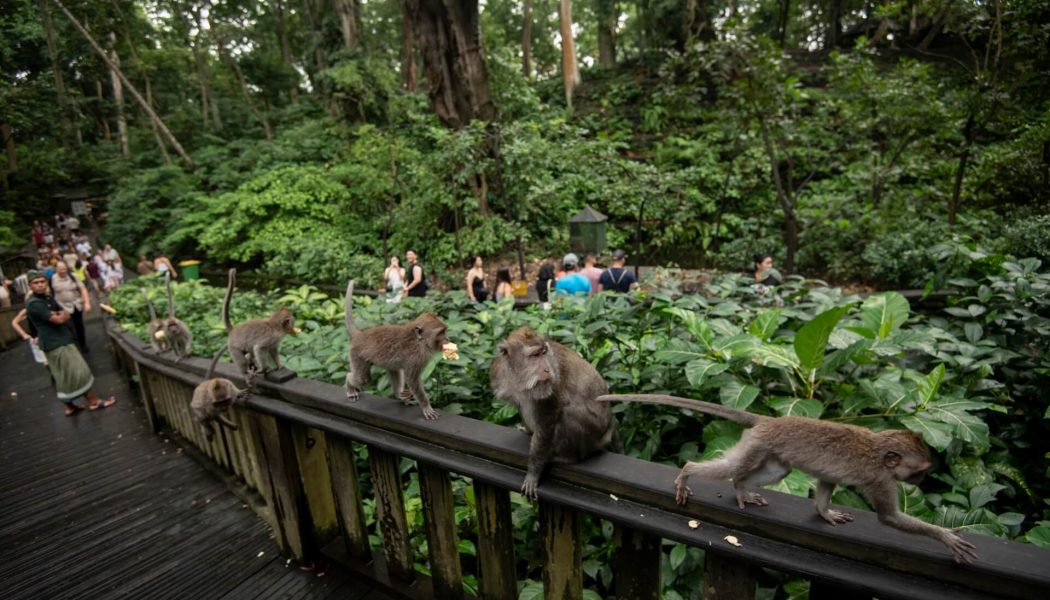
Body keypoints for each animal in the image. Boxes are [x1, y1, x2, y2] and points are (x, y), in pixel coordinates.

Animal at [344, 280, 449, 420]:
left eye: (445, 331)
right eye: (440, 333)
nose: (447, 339)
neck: (419, 341)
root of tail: (359, 335)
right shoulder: (416, 357)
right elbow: (413, 380)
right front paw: (426, 406)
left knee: (393, 369)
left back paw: (398, 394)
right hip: (356, 355)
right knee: (363, 378)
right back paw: (350, 386)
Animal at [491, 326, 622, 500]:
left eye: (544, 352)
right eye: (534, 355)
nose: (547, 369)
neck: (518, 378)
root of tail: (609, 427)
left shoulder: (551, 388)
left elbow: (547, 424)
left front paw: (533, 473)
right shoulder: (499, 373)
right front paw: (528, 430)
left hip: (594, 434)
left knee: (567, 415)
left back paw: (568, 457)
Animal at [596, 393, 980, 564]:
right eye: (920, 471)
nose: (921, 483)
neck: (877, 450)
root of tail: (769, 420)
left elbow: (825, 486)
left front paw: (825, 513)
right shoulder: (880, 480)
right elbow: (889, 517)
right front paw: (946, 537)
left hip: (767, 449)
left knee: (777, 472)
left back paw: (741, 489)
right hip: (756, 444)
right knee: (729, 468)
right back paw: (689, 473)